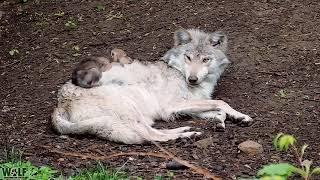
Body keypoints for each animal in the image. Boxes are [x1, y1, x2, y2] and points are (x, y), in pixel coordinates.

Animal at [52, 28, 252, 143]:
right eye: (188, 57)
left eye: (205, 59)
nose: (192, 79)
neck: (178, 72)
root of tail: (59, 104)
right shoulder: (172, 106)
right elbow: (221, 103)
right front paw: (239, 116)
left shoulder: (185, 106)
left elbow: (219, 110)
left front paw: (229, 119)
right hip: (130, 110)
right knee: (148, 137)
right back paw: (185, 136)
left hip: (138, 116)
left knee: (151, 132)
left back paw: (185, 131)